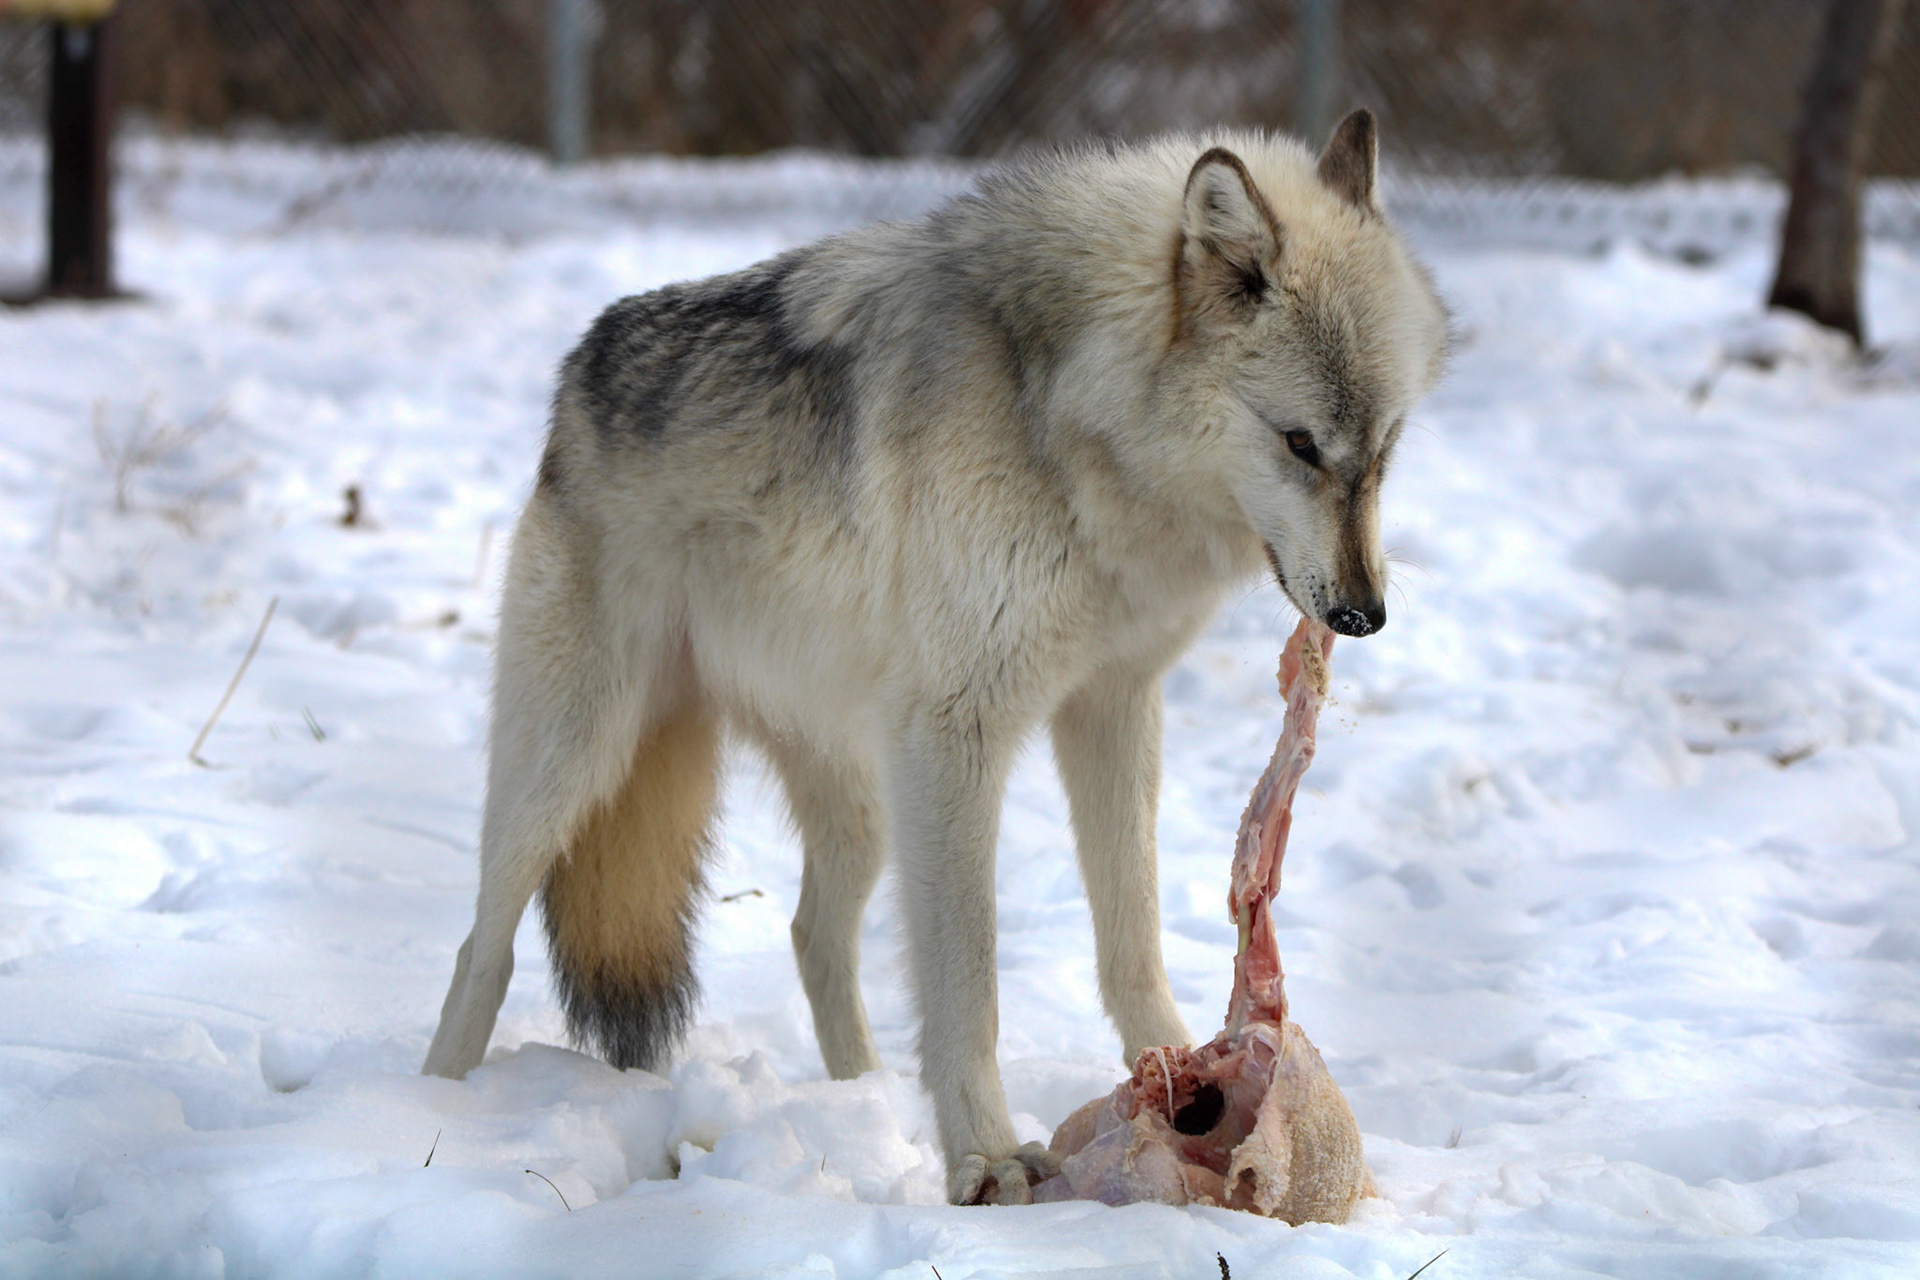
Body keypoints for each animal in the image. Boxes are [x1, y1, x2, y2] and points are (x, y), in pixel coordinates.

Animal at [423, 109, 1448, 1205]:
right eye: (1299, 443)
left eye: (1384, 449)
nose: (1363, 614)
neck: (1068, 419)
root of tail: (576, 375)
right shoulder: (964, 732)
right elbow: (970, 979)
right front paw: (988, 1160)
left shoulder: (1113, 704)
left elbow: (1130, 938)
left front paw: (1183, 1077)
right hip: (575, 767)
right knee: (481, 942)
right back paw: (427, 1109)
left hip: (870, 799)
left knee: (810, 936)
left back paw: (861, 1099)